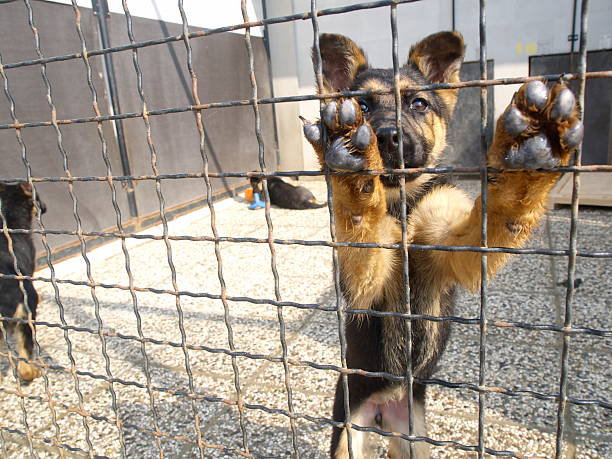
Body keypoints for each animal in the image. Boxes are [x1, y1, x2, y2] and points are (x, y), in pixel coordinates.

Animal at [302, 30, 584, 458]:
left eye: (418, 104)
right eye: (362, 106)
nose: (386, 137)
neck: (401, 202)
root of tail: (386, 407)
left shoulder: (456, 247)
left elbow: (500, 211)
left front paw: (527, 156)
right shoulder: (365, 287)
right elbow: (362, 230)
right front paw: (354, 168)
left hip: (415, 438)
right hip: (349, 431)